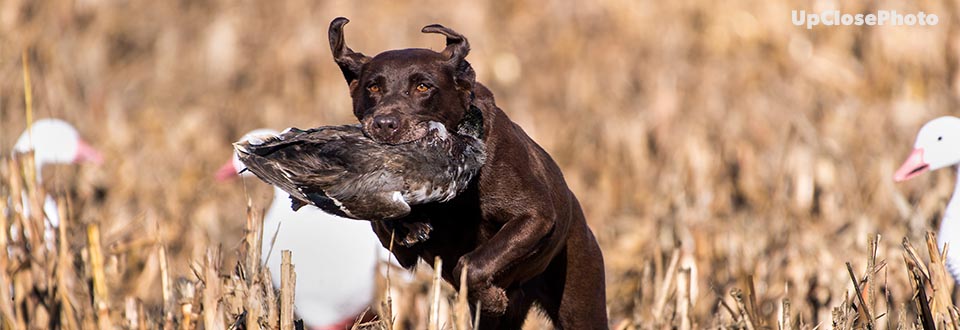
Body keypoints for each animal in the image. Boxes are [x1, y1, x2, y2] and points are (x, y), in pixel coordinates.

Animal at [326, 18, 604, 330]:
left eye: (423, 86)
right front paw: (414, 223)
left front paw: (492, 299)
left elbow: (471, 265)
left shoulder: (536, 217)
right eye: (373, 87)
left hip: (578, 301)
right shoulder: (400, 251)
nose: (385, 124)